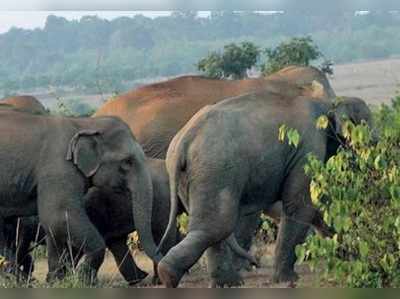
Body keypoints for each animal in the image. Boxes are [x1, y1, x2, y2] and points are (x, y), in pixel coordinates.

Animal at [0, 110, 161, 286]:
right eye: (127, 162)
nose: (150, 274)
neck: (84, 124)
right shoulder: (59, 169)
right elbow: (58, 217)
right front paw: (83, 281)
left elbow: (53, 227)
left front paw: (56, 281)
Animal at [158, 89, 374, 288]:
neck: (329, 102)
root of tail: (183, 141)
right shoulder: (308, 148)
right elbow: (302, 205)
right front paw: (287, 280)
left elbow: (319, 207)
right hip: (214, 170)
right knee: (218, 225)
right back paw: (171, 276)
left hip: (195, 177)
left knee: (211, 227)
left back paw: (226, 283)